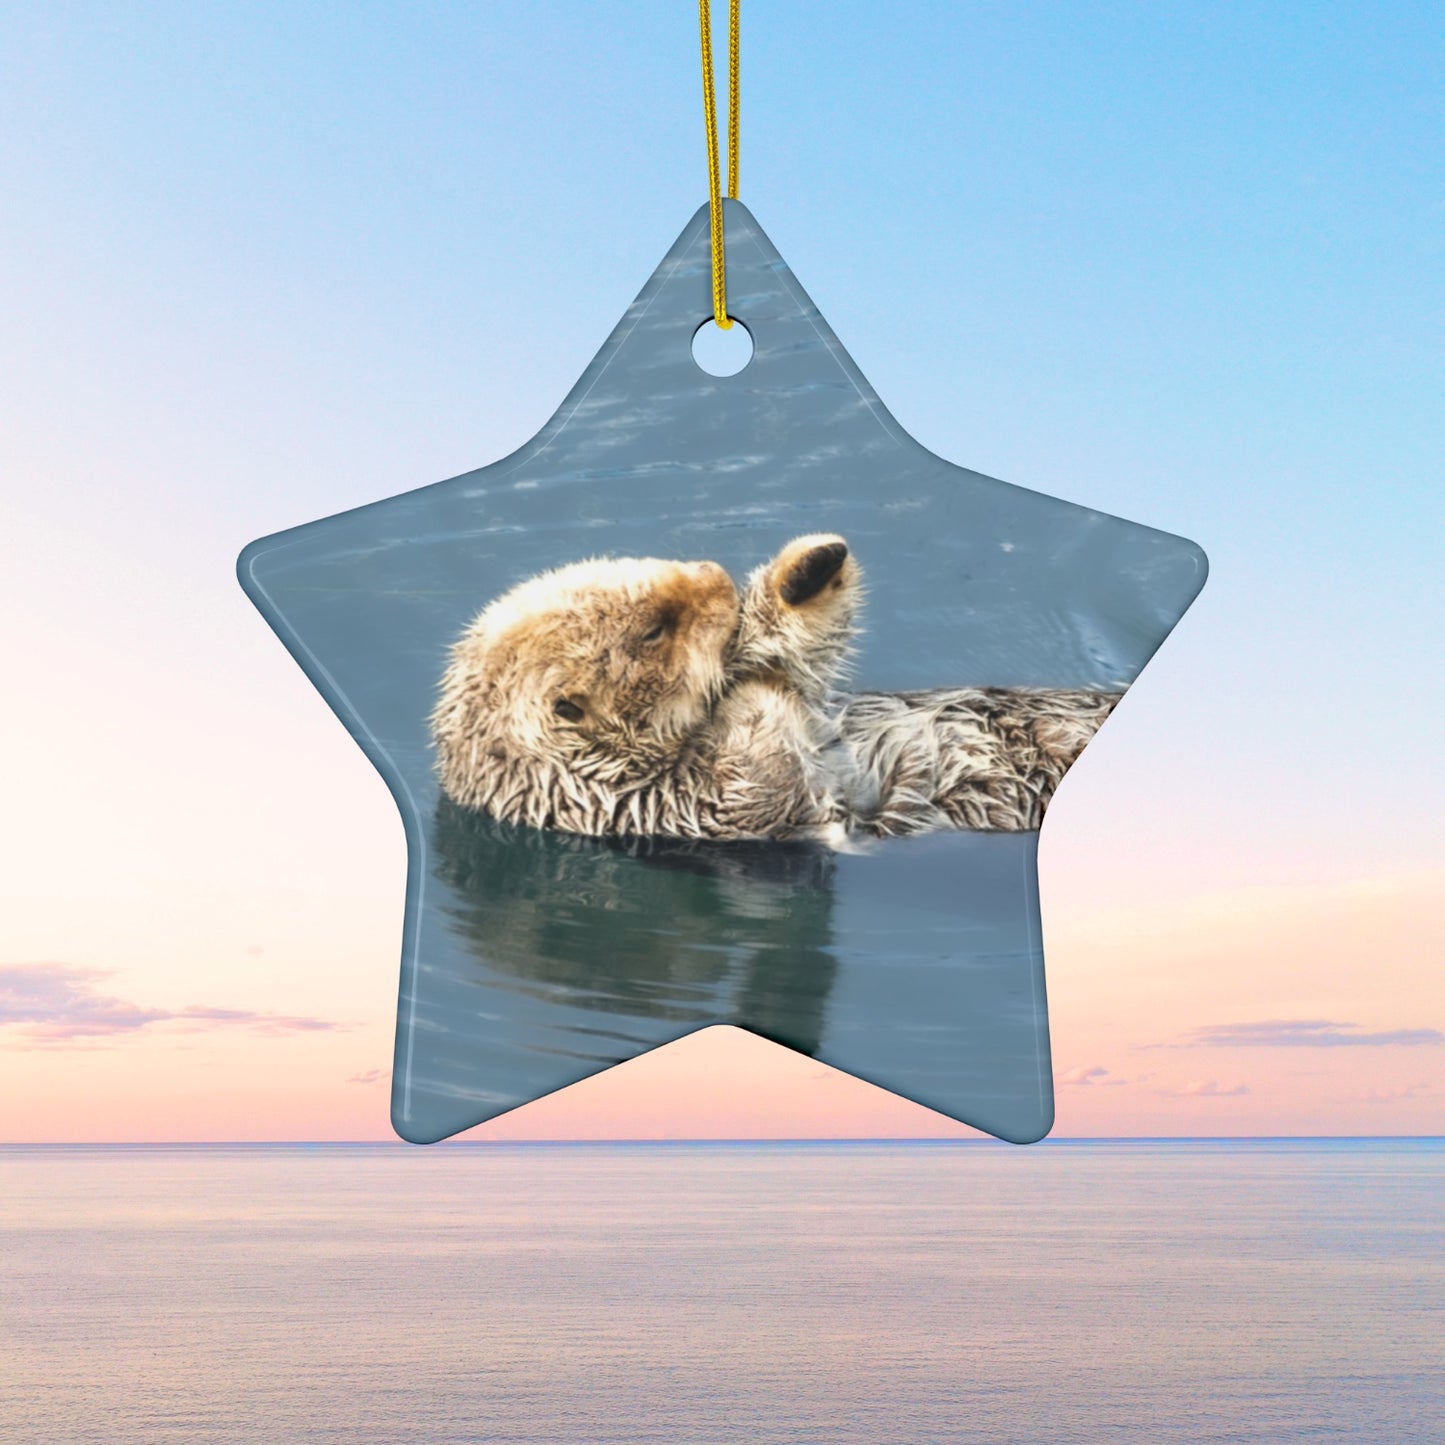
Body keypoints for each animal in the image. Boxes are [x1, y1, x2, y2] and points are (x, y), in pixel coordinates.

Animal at [431, 535, 1119, 842]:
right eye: (655, 630)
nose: (714, 575)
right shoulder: (669, 806)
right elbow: (761, 778)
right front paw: (747, 689)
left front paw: (807, 571)